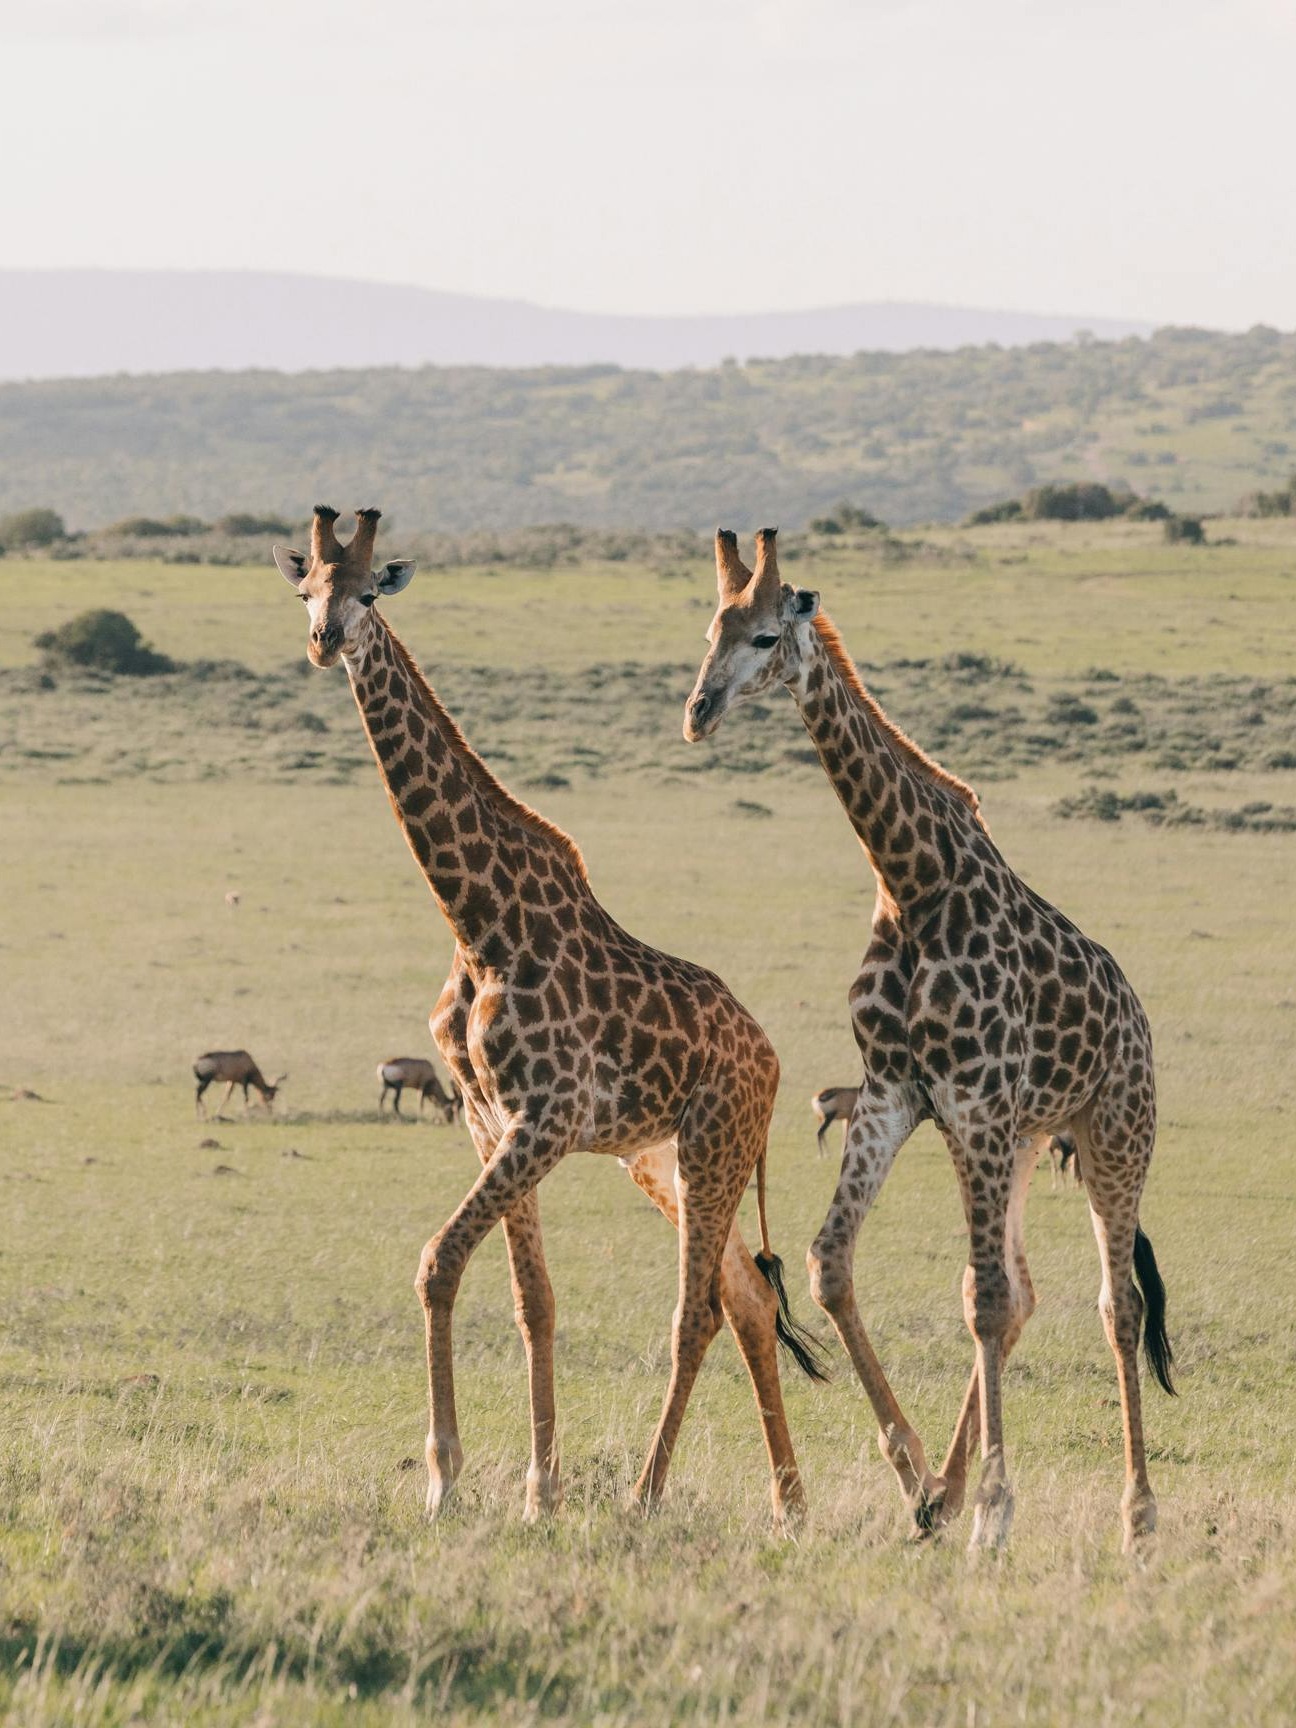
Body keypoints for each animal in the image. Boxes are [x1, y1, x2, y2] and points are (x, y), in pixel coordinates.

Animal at [272, 506, 825, 1528]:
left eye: (368, 592)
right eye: (307, 590)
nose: (326, 640)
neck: (477, 921)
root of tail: (771, 1060)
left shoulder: (548, 1118)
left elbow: (437, 1262)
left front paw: (447, 1480)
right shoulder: (489, 1122)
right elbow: (536, 1302)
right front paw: (538, 1490)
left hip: (713, 1146)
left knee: (699, 1309)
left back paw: (651, 1497)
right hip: (668, 1161)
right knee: (747, 1299)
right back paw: (790, 1503)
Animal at [684, 527, 1175, 1553]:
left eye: (763, 636)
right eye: (710, 629)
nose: (697, 713)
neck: (909, 878)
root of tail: (1137, 1022)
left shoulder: (973, 1102)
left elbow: (982, 1301)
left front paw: (993, 1511)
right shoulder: (894, 1091)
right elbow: (831, 1264)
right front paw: (915, 1477)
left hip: (1114, 1134)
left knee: (1115, 1306)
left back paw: (1137, 1517)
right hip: (1025, 1140)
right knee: (1021, 1291)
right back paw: (950, 1489)